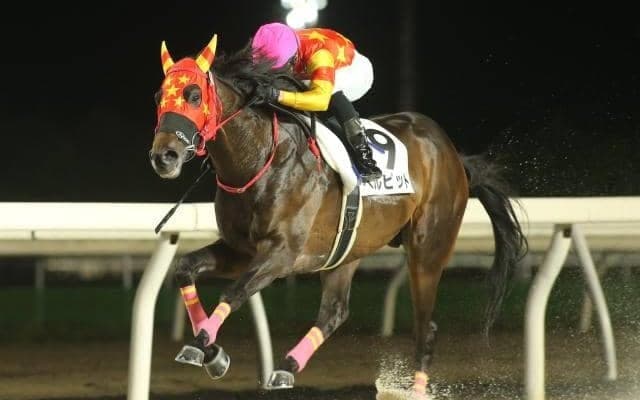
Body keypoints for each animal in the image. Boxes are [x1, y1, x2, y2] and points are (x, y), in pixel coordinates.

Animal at [148, 34, 527, 397]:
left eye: (194, 94)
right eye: (158, 96)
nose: (163, 156)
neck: (258, 158)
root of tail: (452, 155)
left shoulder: (282, 253)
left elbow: (234, 292)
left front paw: (201, 346)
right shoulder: (241, 249)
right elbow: (184, 269)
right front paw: (212, 353)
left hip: (428, 250)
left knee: (425, 328)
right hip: (347, 250)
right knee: (335, 312)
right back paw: (286, 367)